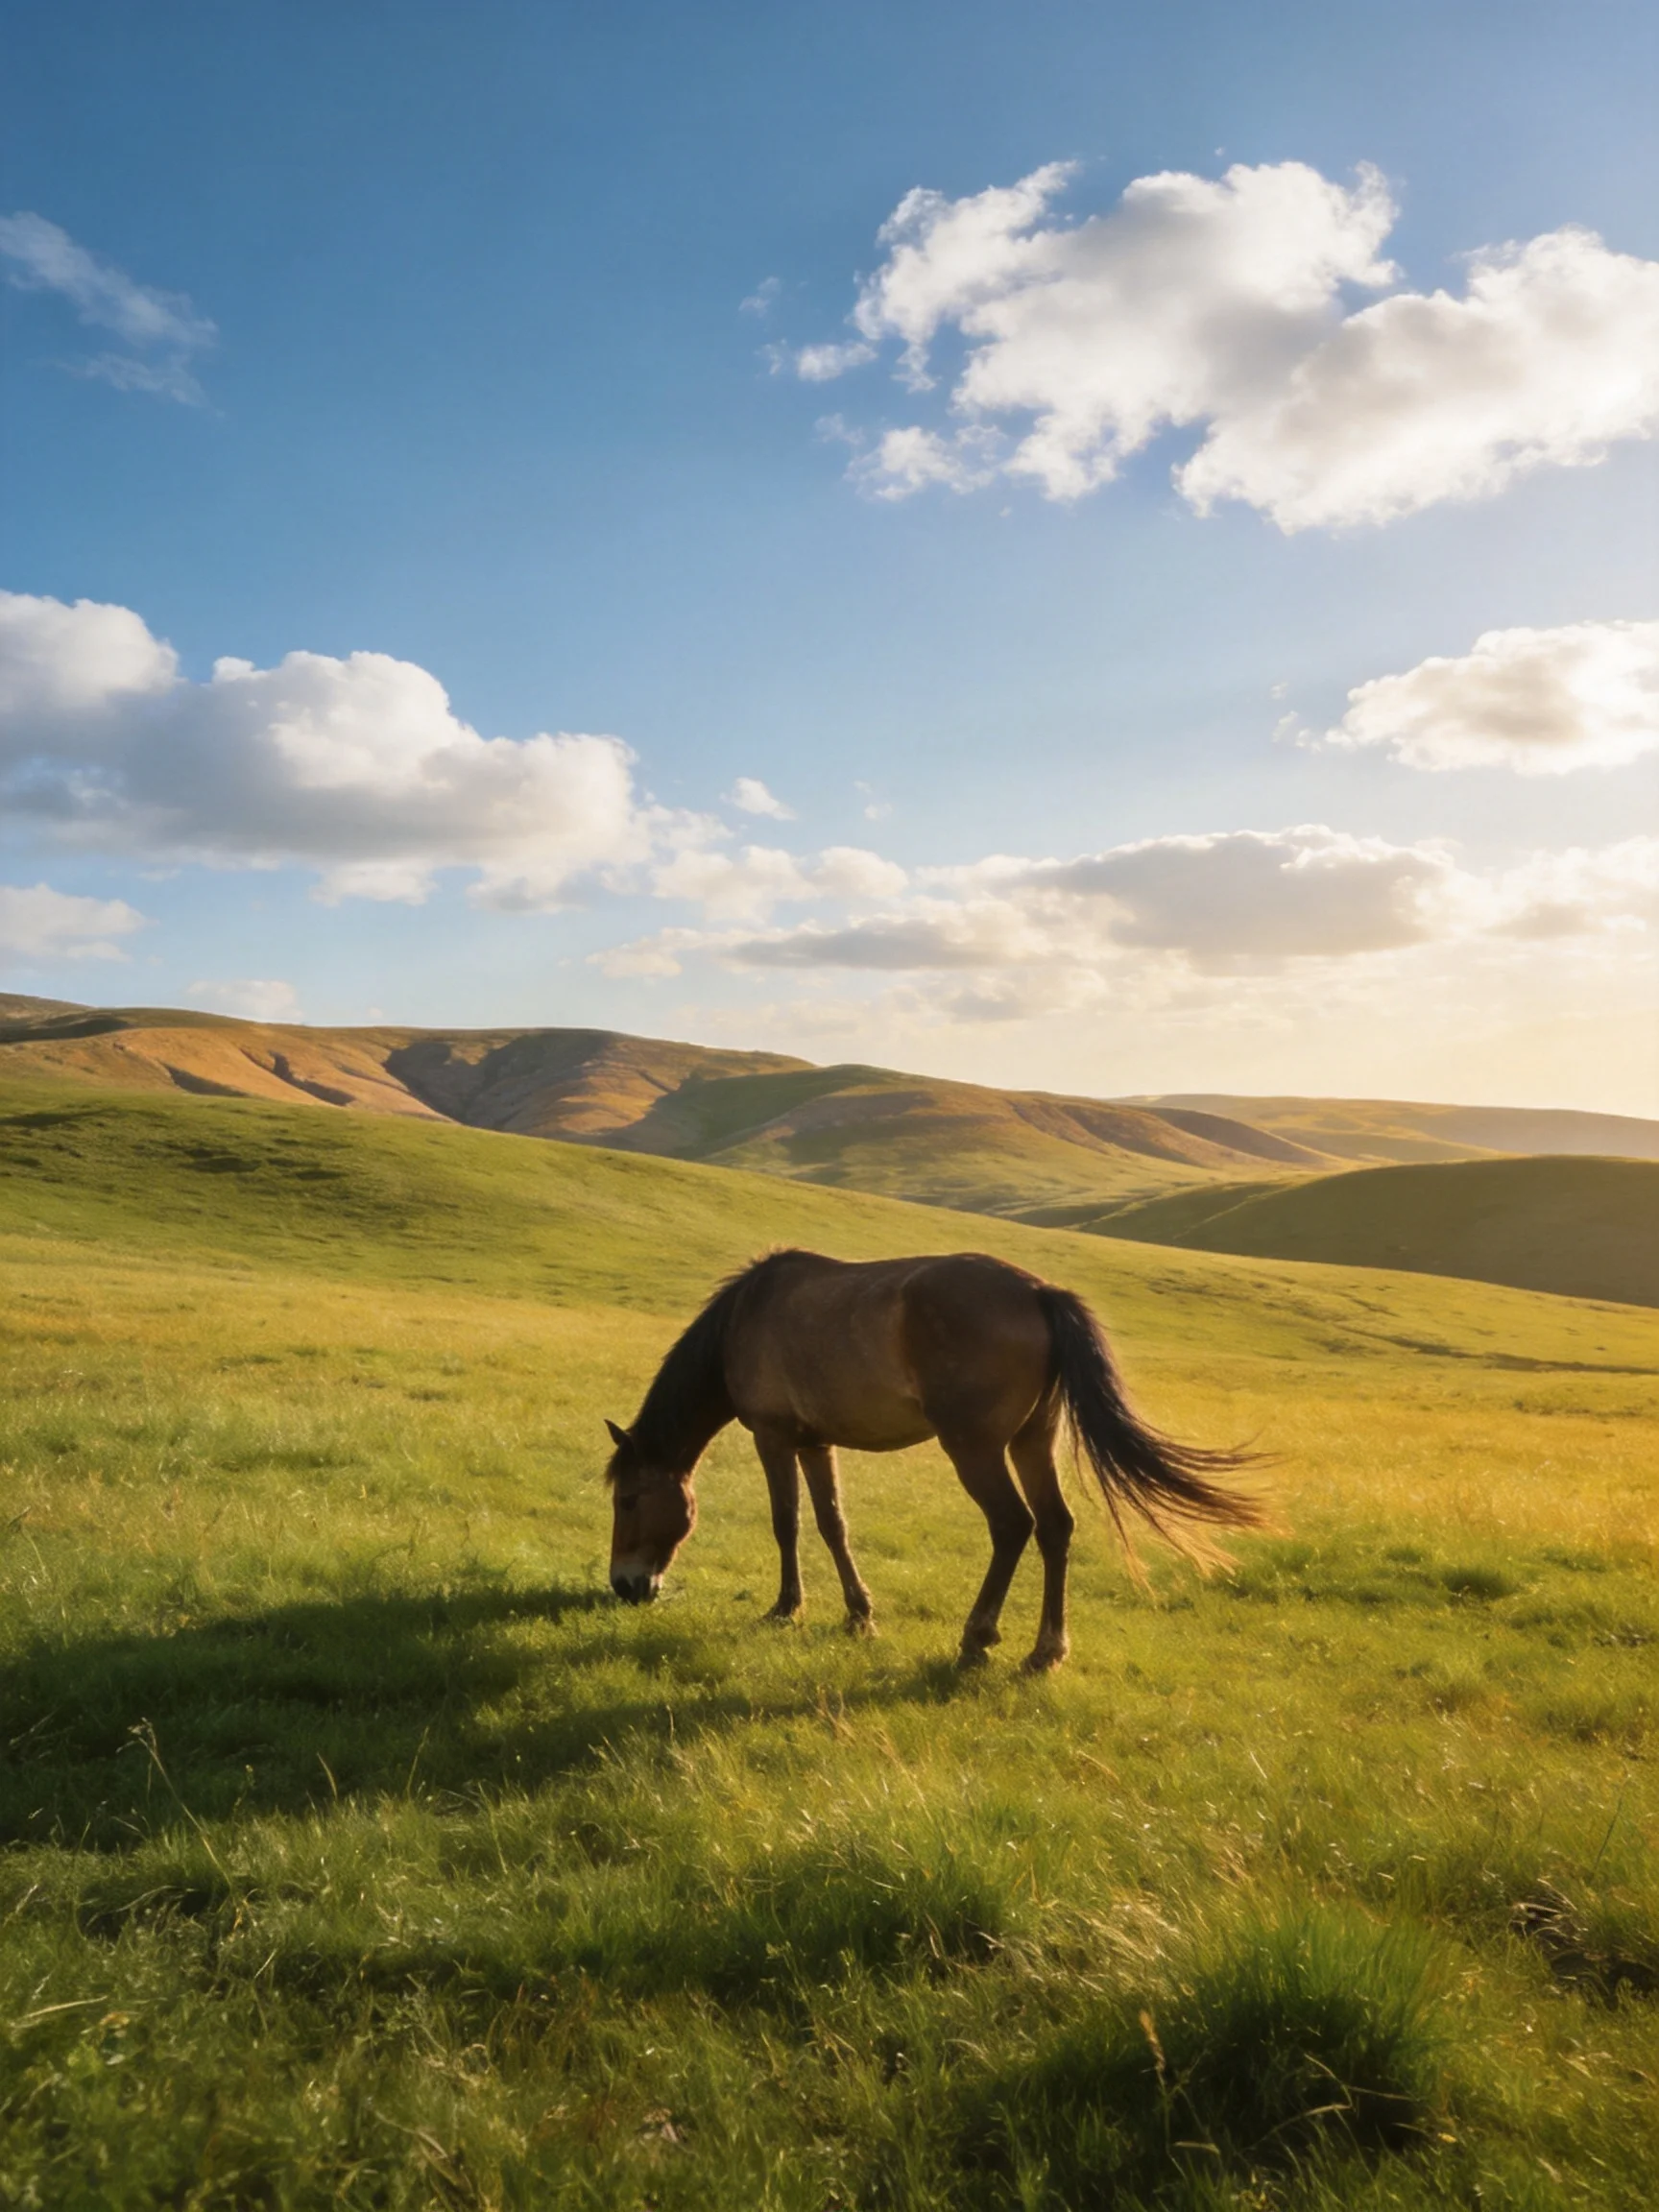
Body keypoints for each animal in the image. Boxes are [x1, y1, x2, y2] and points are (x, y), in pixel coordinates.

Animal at [603, 1248, 1265, 1672]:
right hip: (1032, 1441)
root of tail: (1038, 1292)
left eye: (628, 1499)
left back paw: (978, 1636)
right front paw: (858, 1615)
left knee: (1012, 1525)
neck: (745, 1318)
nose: (625, 1587)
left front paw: (787, 1608)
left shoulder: (774, 1437)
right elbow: (833, 1525)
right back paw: (1046, 1650)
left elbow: (786, 1524)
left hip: (974, 1447)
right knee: (1054, 1527)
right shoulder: (816, 1443)